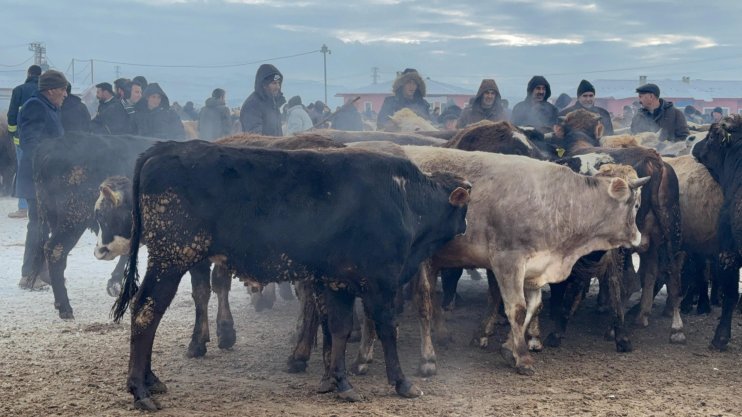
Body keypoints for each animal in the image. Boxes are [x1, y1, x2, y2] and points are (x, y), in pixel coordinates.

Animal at [110, 141, 470, 410]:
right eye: (465, 207)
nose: (466, 227)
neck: (403, 198)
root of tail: (165, 148)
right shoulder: (380, 281)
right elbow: (386, 329)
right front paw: (402, 382)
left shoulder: (336, 281)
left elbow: (339, 329)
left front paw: (338, 382)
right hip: (172, 257)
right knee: (145, 312)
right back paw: (140, 391)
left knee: (148, 313)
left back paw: (151, 381)